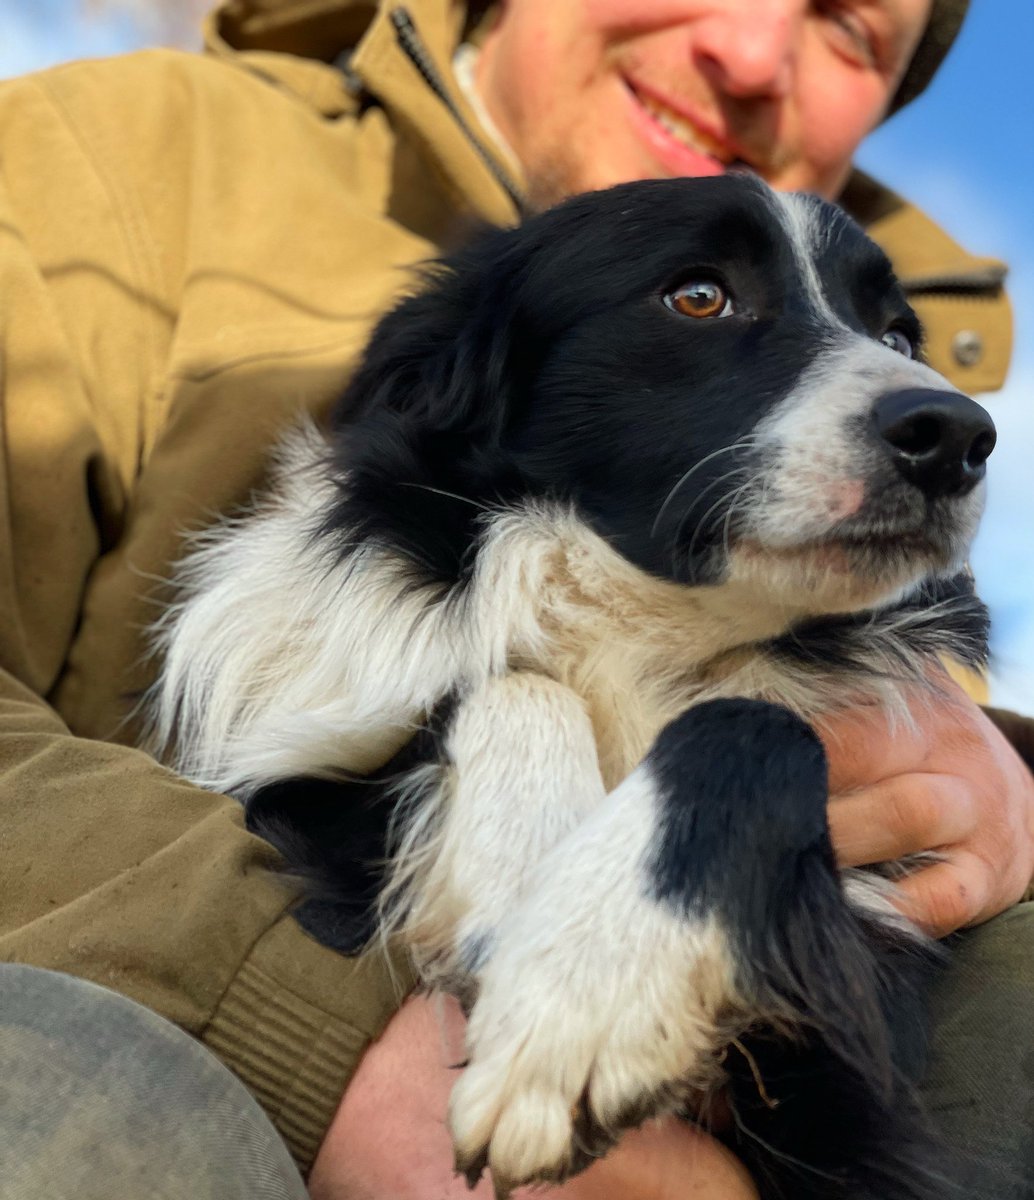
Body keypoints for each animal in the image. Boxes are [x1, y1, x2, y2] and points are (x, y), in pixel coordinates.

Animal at [147, 175, 998, 1200]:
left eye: (901, 337)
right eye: (698, 296)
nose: (958, 436)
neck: (642, 630)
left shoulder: (847, 1058)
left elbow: (754, 720)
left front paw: (591, 990)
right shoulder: (298, 808)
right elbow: (514, 683)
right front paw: (530, 890)